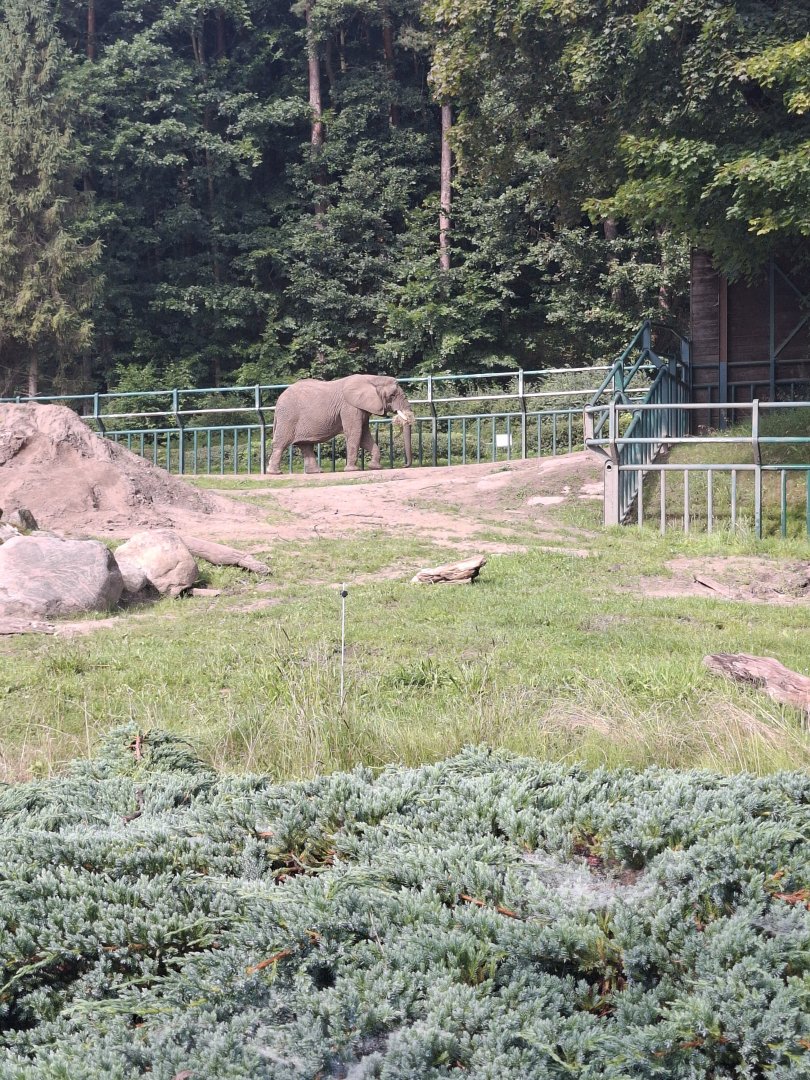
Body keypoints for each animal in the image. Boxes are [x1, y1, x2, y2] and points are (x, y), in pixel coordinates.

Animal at [267, 374, 414, 474]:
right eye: (392, 395)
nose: (404, 466)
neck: (373, 378)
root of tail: (278, 400)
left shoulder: (361, 409)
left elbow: (364, 436)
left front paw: (375, 468)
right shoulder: (349, 407)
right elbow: (355, 433)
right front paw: (352, 470)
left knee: (306, 445)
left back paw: (316, 472)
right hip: (288, 417)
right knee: (282, 443)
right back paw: (274, 473)